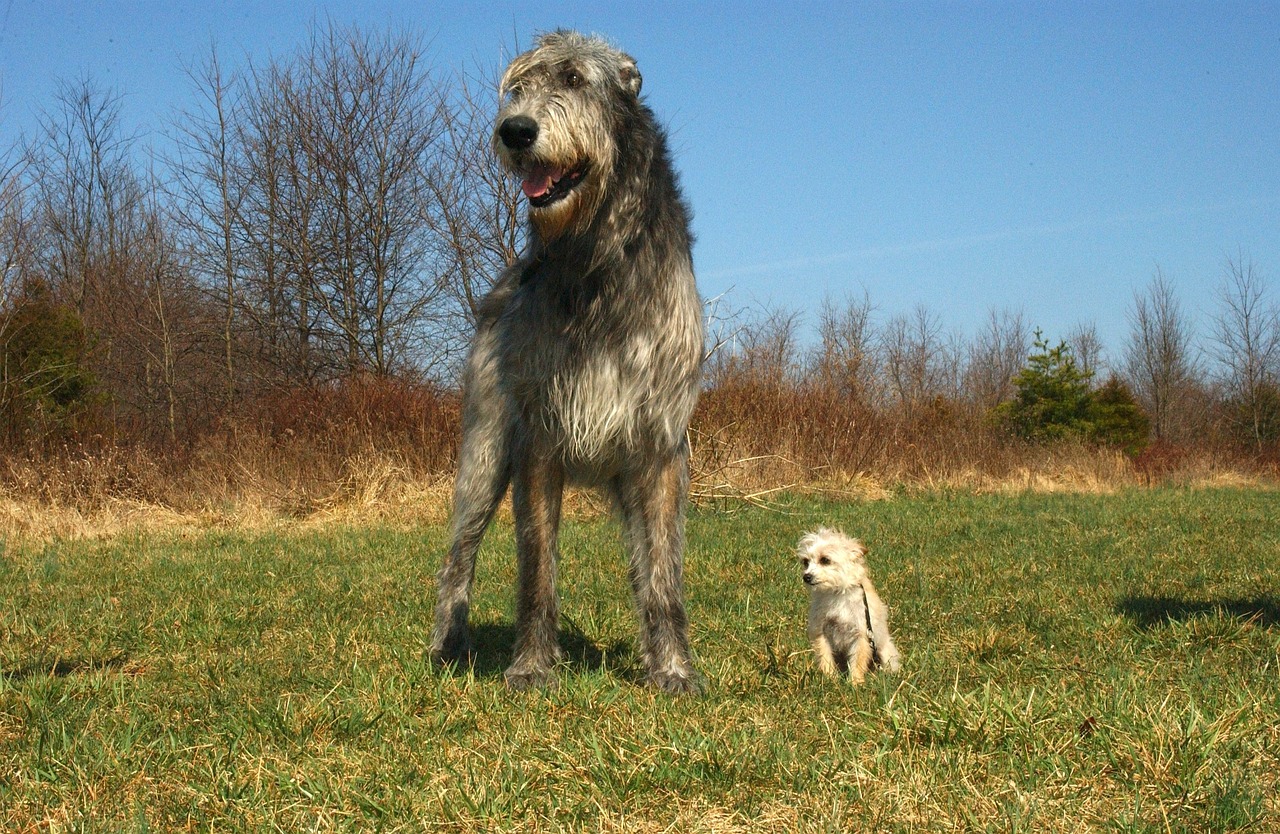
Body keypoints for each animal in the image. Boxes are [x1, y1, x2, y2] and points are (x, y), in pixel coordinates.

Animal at [798, 527, 901, 685]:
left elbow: (858, 660)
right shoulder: (820, 632)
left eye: (825, 560)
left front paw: (855, 683)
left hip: (885, 652)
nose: (806, 576)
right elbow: (825, 657)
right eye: (805, 562)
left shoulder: (862, 634)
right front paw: (829, 679)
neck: (836, 593)